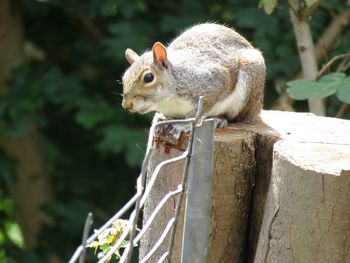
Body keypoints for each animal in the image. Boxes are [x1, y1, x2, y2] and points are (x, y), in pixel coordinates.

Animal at [121, 22, 266, 122]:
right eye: (124, 77)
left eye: (149, 77)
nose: (126, 105)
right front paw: (164, 117)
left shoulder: (214, 81)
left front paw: (191, 119)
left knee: (237, 117)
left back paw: (220, 119)